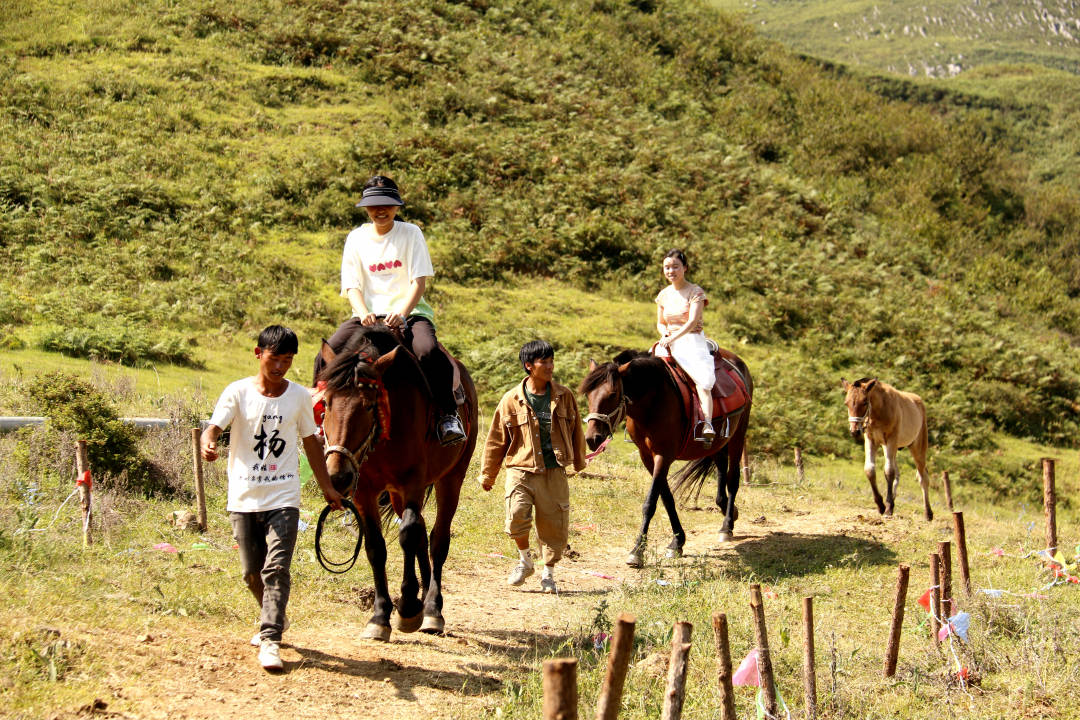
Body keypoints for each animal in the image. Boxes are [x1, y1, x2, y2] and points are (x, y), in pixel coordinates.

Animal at [315, 325, 477, 643]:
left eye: (368, 406)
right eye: (325, 402)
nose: (338, 477)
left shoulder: (413, 481)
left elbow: (408, 535)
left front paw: (409, 607)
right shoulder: (364, 491)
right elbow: (376, 547)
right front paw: (380, 617)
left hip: (451, 478)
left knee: (437, 539)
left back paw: (432, 610)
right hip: (396, 494)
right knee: (423, 534)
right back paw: (425, 600)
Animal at [583, 349, 751, 569]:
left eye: (612, 394)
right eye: (588, 394)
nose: (592, 438)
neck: (653, 401)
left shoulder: (663, 455)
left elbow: (650, 503)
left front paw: (637, 551)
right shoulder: (647, 457)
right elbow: (667, 498)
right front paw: (677, 542)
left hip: (738, 435)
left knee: (733, 480)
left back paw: (727, 526)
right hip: (719, 439)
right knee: (722, 466)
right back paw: (725, 508)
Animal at [838, 377, 933, 524]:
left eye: (864, 402)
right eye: (846, 403)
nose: (854, 431)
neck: (878, 411)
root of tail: (919, 402)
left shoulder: (891, 440)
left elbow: (889, 472)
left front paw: (888, 508)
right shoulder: (871, 440)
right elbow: (870, 470)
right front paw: (881, 505)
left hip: (918, 448)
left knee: (923, 478)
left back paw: (928, 514)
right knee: (899, 474)